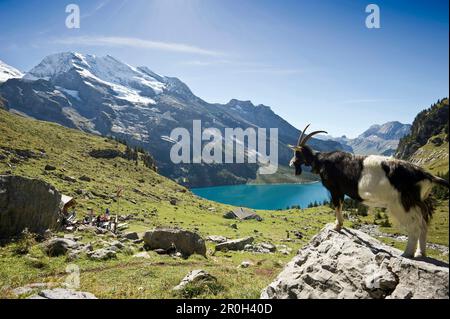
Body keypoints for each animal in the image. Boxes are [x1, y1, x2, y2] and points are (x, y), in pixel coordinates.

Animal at [290, 124, 448, 258]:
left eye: (297, 153)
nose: (291, 163)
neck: (323, 160)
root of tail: (427, 175)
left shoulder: (335, 189)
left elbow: (337, 205)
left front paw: (337, 226)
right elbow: (340, 205)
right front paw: (339, 225)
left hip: (402, 204)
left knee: (414, 227)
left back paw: (407, 254)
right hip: (419, 203)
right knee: (423, 225)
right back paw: (421, 253)